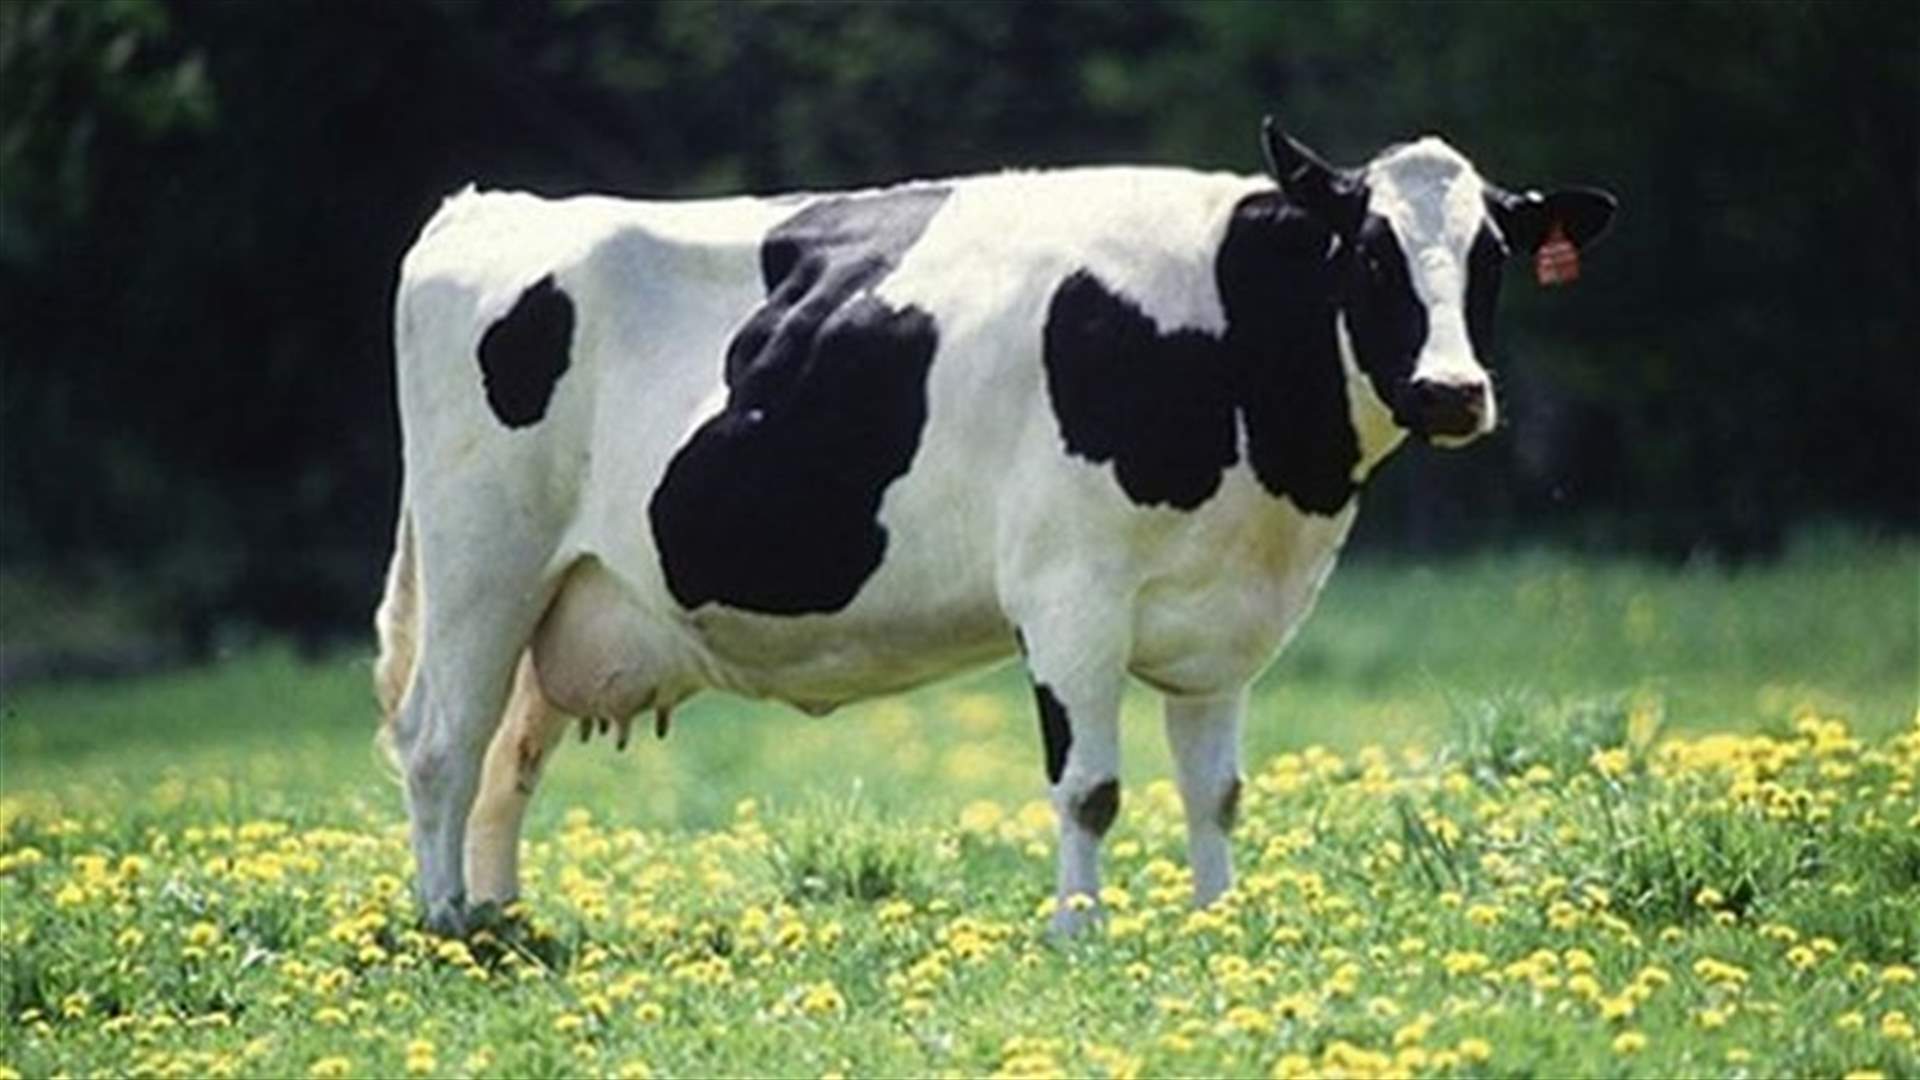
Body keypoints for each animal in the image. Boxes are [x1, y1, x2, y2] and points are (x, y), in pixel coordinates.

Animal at [374, 118, 1616, 936]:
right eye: (1368, 251)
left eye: (1492, 257)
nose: (1452, 392)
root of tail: (486, 207)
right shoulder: (1070, 595)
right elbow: (1092, 788)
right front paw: (1079, 935)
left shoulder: (1223, 623)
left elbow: (1216, 789)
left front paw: (1218, 926)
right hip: (483, 563)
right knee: (441, 743)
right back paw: (445, 928)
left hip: (565, 595)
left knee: (509, 758)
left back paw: (504, 922)